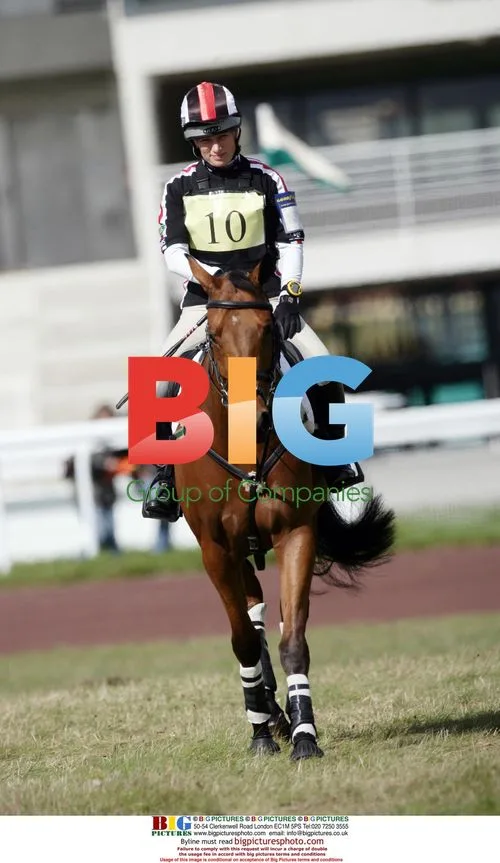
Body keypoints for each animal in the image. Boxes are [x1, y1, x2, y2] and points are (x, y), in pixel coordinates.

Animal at [172, 256, 395, 761]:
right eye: (214, 333)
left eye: (267, 329)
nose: (252, 417)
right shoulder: (216, 549)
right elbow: (242, 641)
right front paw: (259, 732)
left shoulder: (297, 533)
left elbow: (292, 638)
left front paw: (304, 734)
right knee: (250, 618)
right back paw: (265, 712)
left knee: (260, 613)